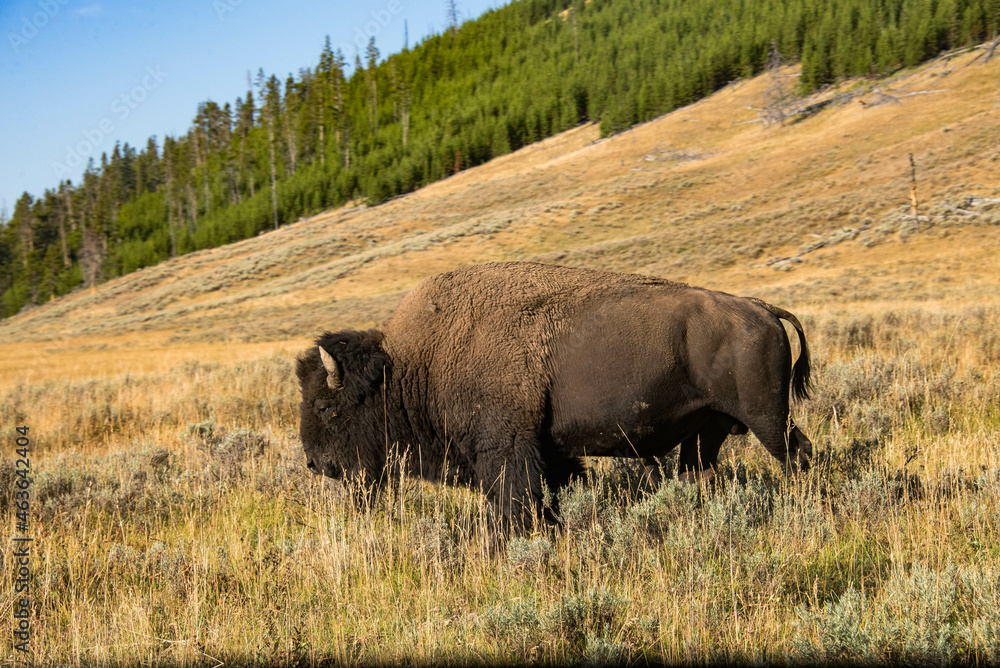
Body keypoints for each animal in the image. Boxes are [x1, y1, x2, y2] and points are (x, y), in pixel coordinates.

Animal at [296, 260, 812, 528]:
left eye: (324, 406)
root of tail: (761, 308)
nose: (316, 464)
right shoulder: (550, 452)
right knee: (701, 470)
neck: (411, 365)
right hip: (708, 432)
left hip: (768, 419)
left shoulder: (507, 451)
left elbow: (513, 505)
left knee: (798, 453)